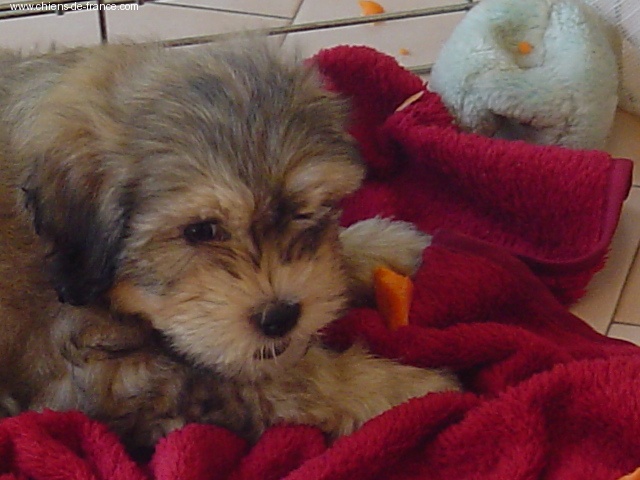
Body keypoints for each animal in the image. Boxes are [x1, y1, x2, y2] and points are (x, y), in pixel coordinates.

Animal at [0, 41, 459, 448]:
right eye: (201, 230)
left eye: (304, 212)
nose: (281, 317)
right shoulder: (107, 375)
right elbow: (287, 379)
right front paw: (404, 385)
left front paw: (377, 246)